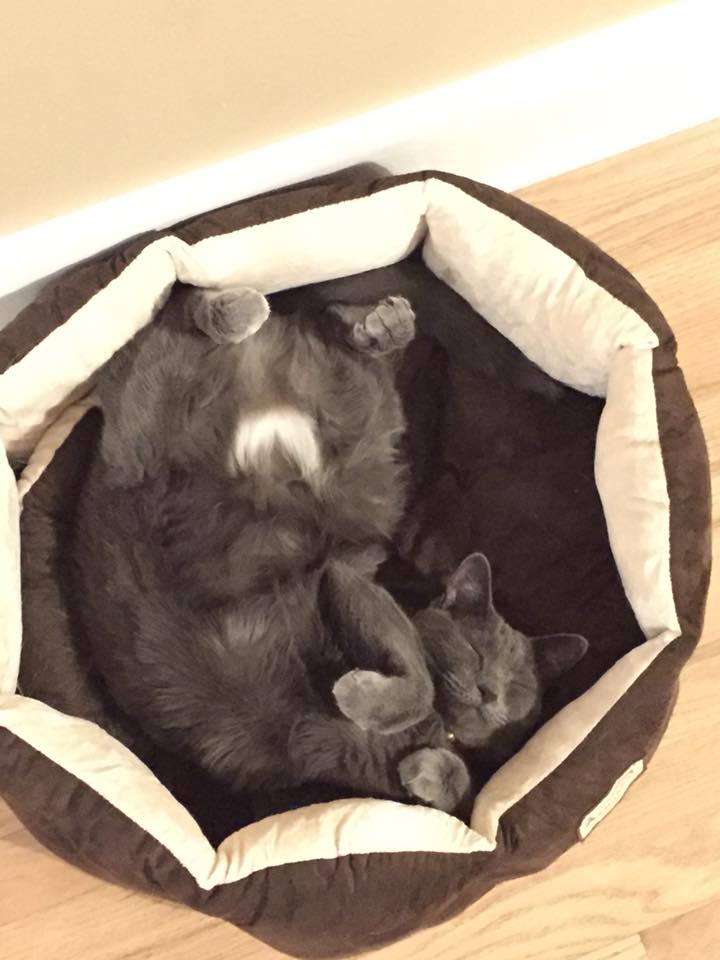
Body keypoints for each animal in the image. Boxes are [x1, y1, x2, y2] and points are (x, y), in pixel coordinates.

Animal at [71, 283, 471, 814]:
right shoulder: (335, 581)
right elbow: (421, 687)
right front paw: (366, 701)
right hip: (144, 411)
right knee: (187, 311)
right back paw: (255, 312)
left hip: (352, 425)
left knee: (340, 343)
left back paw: (368, 326)